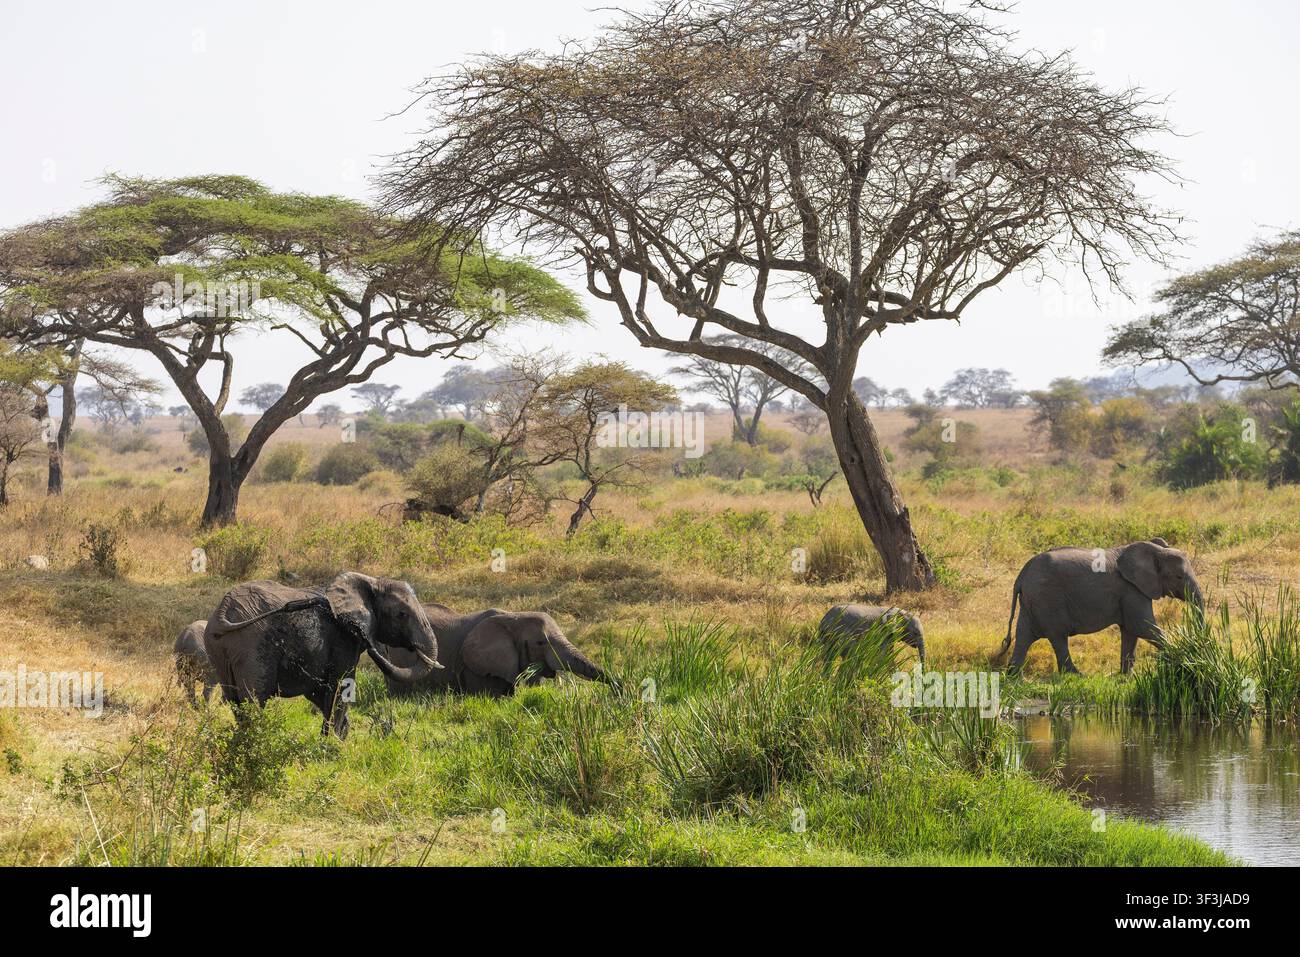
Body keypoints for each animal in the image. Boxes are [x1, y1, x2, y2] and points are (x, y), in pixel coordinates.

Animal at [203, 572, 441, 738]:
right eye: (402, 615)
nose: (374, 645)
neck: (372, 581)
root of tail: (224, 610)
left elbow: (319, 692)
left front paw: (339, 737)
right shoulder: (343, 639)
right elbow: (341, 686)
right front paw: (332, 746)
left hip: (218, 649)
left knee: (234, 700)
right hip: (253, 646)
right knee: (254, 700)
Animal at [993, 538, 1204, 676]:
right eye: (1179, 577)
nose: (1200, 643)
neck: (1155, 550)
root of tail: (1021, 575)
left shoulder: (1131, 592)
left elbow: (1130, 631)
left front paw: (1124, 677)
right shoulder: (1131, 590)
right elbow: (1143, 627)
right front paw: (1181, 657)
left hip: (1032, 601)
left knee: (1023, 635)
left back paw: (1013, 675)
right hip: (1047, 598)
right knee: (1058, 637)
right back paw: (1076, 675)